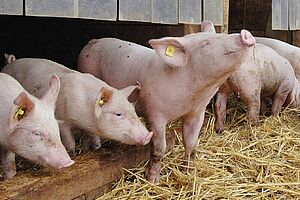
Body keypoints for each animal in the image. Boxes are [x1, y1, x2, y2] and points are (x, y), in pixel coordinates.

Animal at [1, 56, 152, 156]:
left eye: (133, 110)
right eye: (118, 114)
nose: (148, 136)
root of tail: (11, 63)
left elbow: (90, 138)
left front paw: (93, 148)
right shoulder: (62, 122)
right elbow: (70, 142)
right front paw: (73, 154)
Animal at [77, 24, 255, 184]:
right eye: (206, 44)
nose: (245, 33)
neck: (192, 96)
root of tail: (92, 42)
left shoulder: (196, 113)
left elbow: (191, 145)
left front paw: (189, 174)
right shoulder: (155, 113)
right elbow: (159, 149)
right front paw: (152, 181)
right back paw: (93, 148)